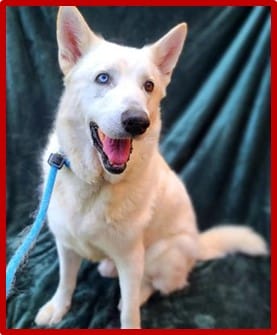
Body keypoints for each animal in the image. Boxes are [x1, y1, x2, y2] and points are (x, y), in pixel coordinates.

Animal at [34, 6, 266, 330]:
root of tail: (197, 245)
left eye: (148, 86)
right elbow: (65, 281)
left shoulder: (132, 259)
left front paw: (128, 315)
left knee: (156, 285)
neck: (96, 183)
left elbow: (130, 311)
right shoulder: (65, 245)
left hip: (160, 254)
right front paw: (58, 308)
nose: (137, 122)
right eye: (103, 78)